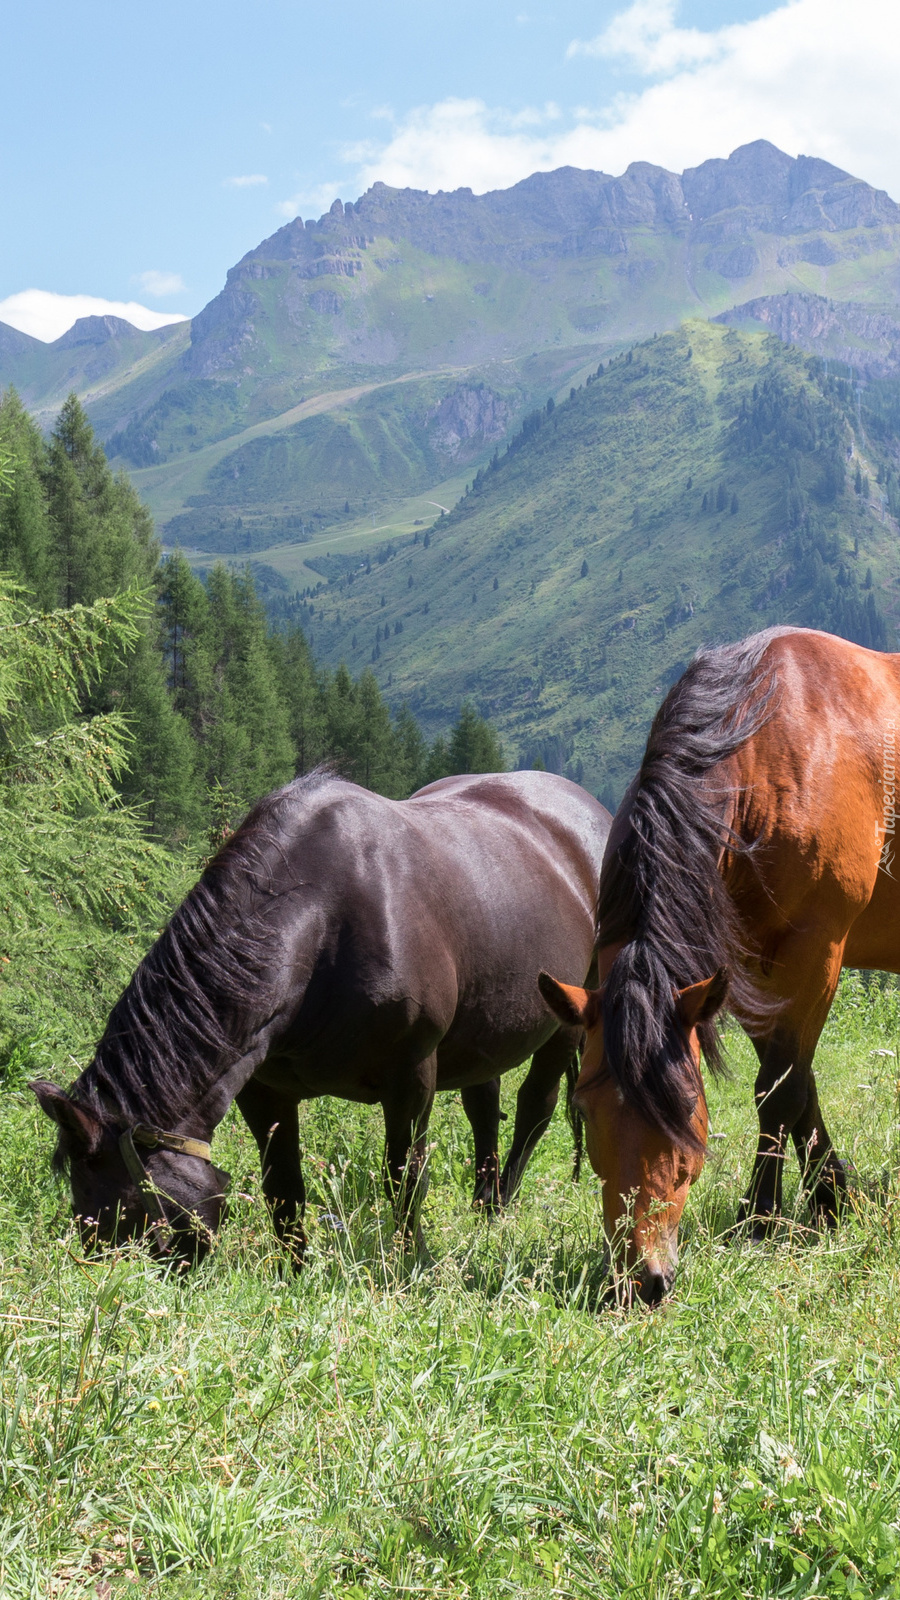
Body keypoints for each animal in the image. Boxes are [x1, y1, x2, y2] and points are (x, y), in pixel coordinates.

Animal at [33, 768, 608, 1267]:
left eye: (118, 1210)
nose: (117, 1279)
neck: (323, 925)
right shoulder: (263, 1088)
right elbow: (282, 1185)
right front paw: (294, 1272)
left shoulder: (412, 1075)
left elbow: (405, 1177)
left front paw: (411, 1265)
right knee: (483, 1105)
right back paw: (485, 1206)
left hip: (567, 1016)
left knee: (533, 1109)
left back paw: (501, 1206)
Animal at [538, 624, 896, 1299]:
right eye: (586, 1112)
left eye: (685, 1110)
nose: (641, 1279)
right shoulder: (747, 974)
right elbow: (798, 1084)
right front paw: (833, 1200)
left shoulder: (817, 951)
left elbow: (779, 1090)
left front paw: (760, 1220)